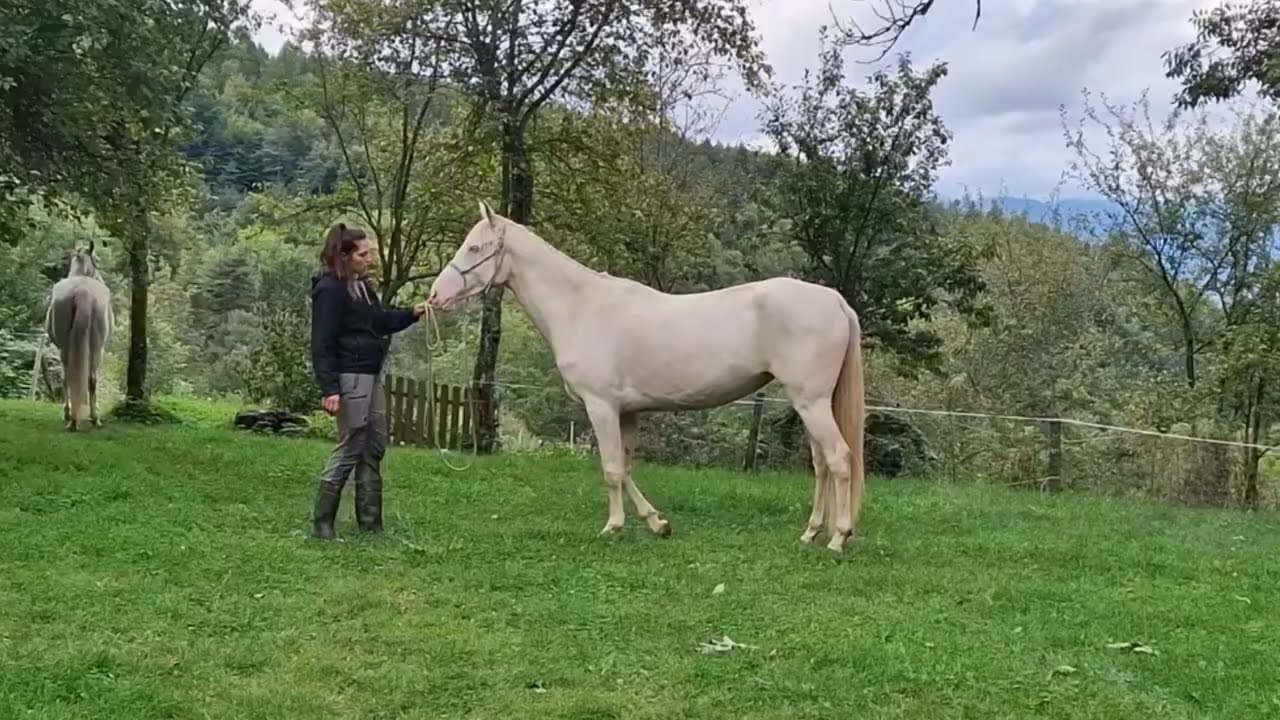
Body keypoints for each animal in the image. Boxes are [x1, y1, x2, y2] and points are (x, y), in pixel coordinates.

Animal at [45, 241, 114, 431]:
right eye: (98, 260)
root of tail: (83, 290)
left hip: (67, 347)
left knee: (69, 377)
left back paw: (72, 417)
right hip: (97, 349)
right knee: (90, 379)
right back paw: (93, 417)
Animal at [427, 201, 866, 552]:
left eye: (476, 247)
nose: (435, 296)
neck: (580, 307)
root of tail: (836, 301)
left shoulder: (601, 406)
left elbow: (611, 468)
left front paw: (614, 527)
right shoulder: (628, 411)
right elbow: (626, 467)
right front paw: (657, 523)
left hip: (811, 403)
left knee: (839, 459)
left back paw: (838, 538)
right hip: (809, 404)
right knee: (822, 464)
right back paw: (811, 533)